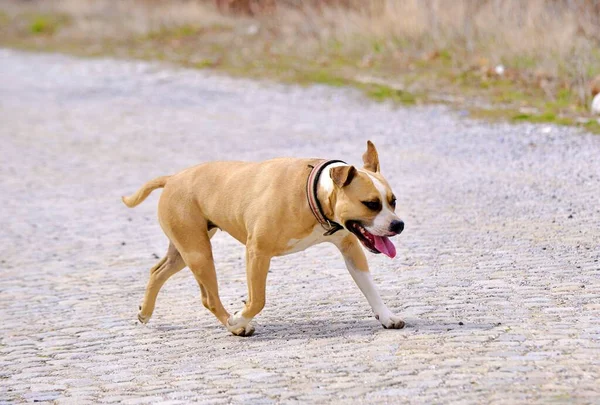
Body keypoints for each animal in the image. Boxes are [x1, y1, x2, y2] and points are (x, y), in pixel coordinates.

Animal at [121, 140, 404, 336]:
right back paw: (234, 326)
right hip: (198, 253)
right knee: (209, 297)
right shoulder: (257, 252)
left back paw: (145, 312)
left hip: (183, 252)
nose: (398, 224)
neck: (312, 192)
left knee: (158, 272)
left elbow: (370, 287)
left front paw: (386, 316)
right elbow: (258, 299)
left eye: (393, 201)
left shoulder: (350, 248)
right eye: (371, 204)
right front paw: (239, 318)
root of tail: (172, 178)